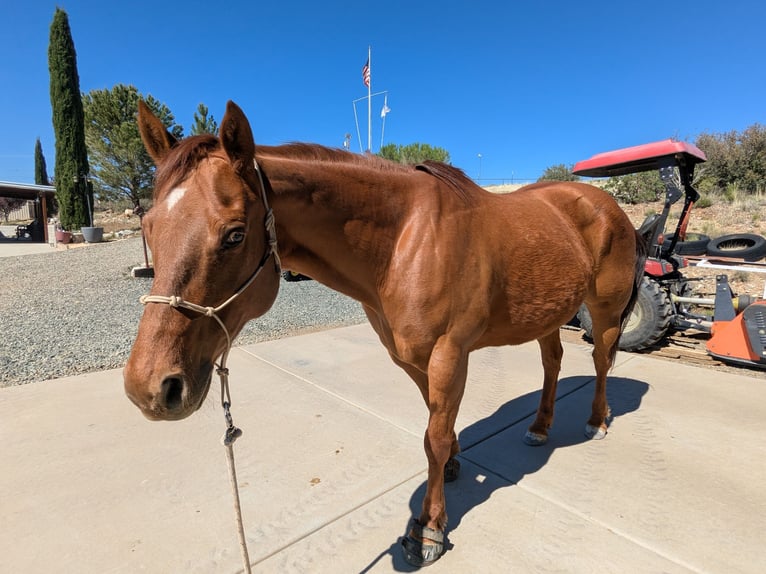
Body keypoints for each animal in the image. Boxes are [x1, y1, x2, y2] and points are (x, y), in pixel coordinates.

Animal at [124, 100, 646, 566]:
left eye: (234, 235)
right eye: (148, 227)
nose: (149, 388)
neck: (404, 241)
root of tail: (605, 204)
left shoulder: (449, 354)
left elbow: (434, 436)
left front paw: (429, 528)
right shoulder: (410, 356)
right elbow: (437, 426)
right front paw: (451, 467)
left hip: (602, 311)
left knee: (600, 360)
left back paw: (596, 421)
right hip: (547, 313)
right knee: (553, 361)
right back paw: (539, 427)